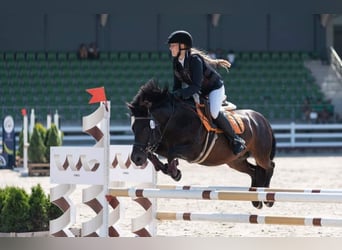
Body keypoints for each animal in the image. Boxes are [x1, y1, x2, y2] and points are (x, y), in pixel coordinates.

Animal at [126, 79, 276, 208]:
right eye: (133, 128)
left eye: (146, 128)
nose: (136, 159)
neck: (176, 120)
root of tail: (261, 119)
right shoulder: (160, 143)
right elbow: (153, 154)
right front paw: (167, 168)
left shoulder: (193, 151)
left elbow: (171, 153)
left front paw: (174, 171)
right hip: (235, 161)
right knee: (254, 171)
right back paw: (256, 199)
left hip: (260, 155)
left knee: (269, 166)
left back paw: (268, 199)